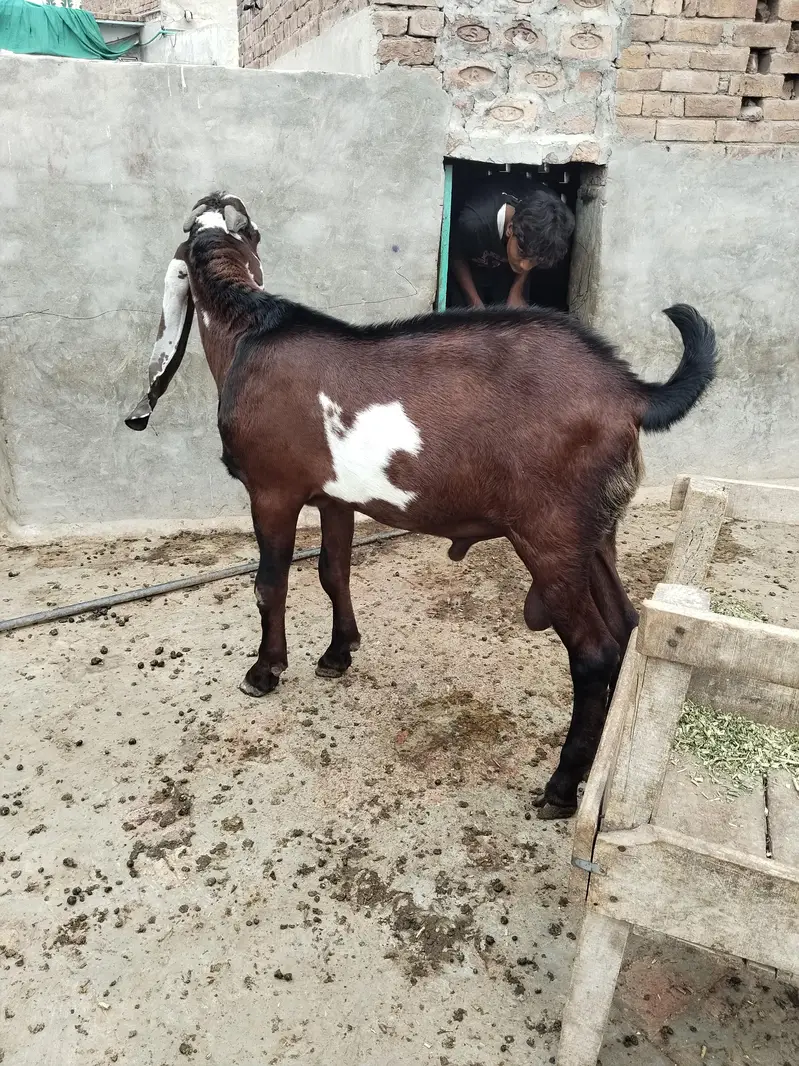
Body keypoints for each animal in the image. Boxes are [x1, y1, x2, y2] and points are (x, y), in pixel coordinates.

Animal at [126, 192, 717, 819]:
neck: (249, 333)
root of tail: (629, 392)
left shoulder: (271, 491)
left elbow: (270, 585)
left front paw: (264, 672)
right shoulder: (336, 496)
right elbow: (334, 572)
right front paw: (338, 654)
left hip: (550, 535)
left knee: (594, 652)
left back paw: (559, 787)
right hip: (595, 530)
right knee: (627, 625)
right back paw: (594, 762)